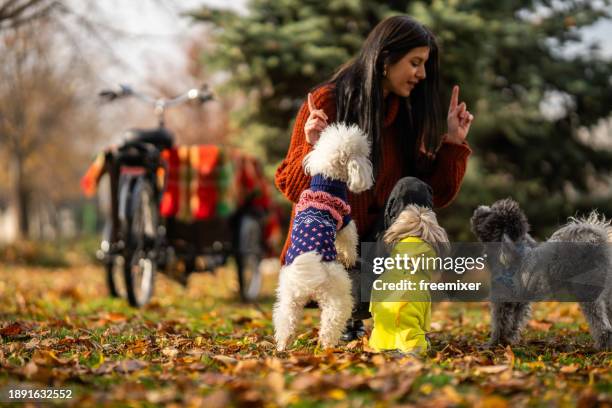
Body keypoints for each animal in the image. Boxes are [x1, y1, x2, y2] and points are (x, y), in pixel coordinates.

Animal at [276, 122, 372, 350]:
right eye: (363, 153)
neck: (327, 183)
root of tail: (307, 280)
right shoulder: (346, 221)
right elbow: (349, 243)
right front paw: (349, 258)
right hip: (337, 296)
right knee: (332, 321)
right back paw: (328, 346)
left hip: (289, 299)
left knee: (285, 321)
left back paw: (282, 346)